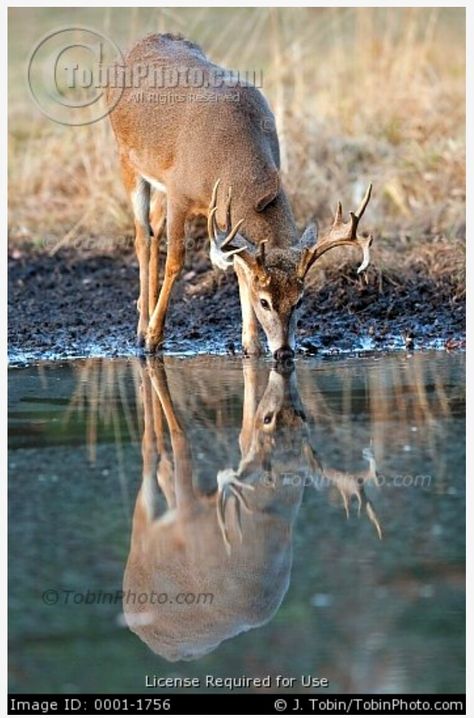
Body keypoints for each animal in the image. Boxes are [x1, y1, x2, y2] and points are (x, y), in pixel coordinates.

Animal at [107, 33, 374, 360]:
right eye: (265, 301)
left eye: (299, 300)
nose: (284, 351)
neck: (229, 159)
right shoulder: (179, 193)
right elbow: (176, 262)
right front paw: (154, 338)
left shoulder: (221, 215)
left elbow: (241, 269)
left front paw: (251, 345)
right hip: (127, 161)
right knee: (142, 238)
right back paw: (141, 331)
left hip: (158, 182)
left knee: (154, 229)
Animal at [122, 360, 382, 664]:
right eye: (269, 418)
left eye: (303, 415)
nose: (284, 357)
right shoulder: (189, 517)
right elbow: (182, 441)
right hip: (144, 535)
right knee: (150, 455)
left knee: (163, 468)